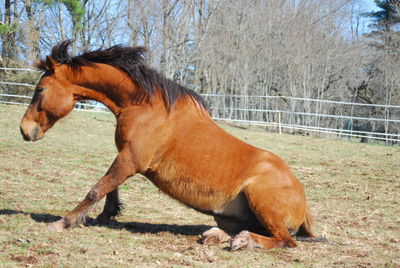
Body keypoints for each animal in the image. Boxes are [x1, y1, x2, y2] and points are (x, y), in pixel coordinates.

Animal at [20, 40, 318, 251]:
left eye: (40, 90)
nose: (25, 130)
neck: (145, 106)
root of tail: (302, 201)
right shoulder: (125, 156)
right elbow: (109, 185)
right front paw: (107, 214)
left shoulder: (131, 160)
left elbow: (97, 188)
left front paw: (65, 222)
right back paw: (215, 235)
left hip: (262, 204)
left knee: (285, 241)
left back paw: (243, 241)